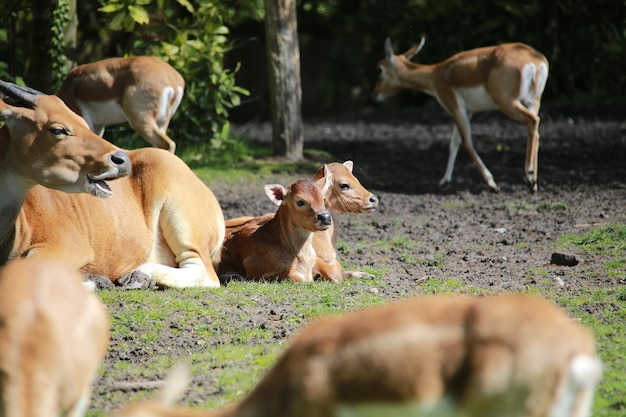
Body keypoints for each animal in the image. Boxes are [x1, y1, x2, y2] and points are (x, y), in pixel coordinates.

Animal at [0, 78, 224, 288]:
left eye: (82, 121)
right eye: (57, 129)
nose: (121, 160)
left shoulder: (70, 246)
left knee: (205, 273)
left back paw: (141, 273)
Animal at [370, 37, 544, 192]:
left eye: (379, 70)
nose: (375, 95)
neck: (437, 74)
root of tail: (534, 61)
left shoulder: (456, 108)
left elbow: (466, 142)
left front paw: (492, 184)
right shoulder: (467, 111)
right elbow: (454, 143)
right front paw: (444, 181)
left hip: (507, 103)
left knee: (532, 121)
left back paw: (529, 175)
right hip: (533, 101)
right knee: (535, 131)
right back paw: (533, 183)